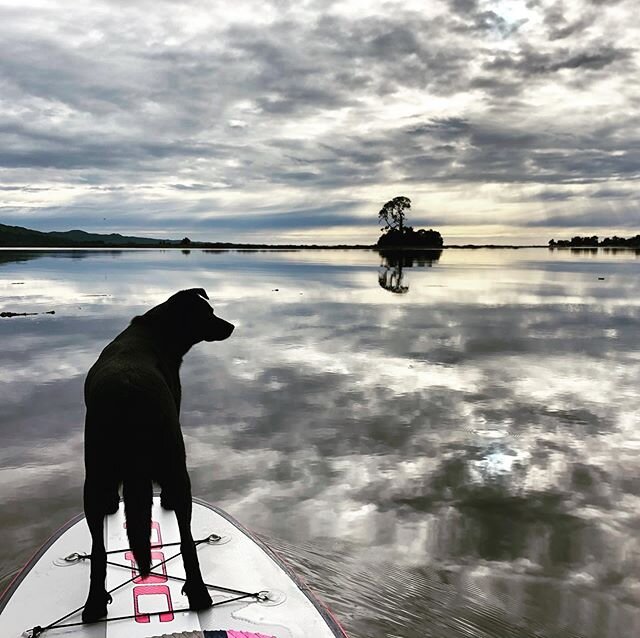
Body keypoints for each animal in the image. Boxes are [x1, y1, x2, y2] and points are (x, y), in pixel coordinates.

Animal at [81, 288, 234, 624]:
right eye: (208, 313)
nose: (230, 326)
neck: (157, 331)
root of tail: (129, 399)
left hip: (94, 478)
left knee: (98, 549)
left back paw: (94, 604)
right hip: (177, 470)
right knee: (187, 540)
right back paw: (200, 594)